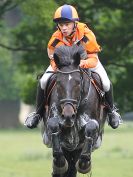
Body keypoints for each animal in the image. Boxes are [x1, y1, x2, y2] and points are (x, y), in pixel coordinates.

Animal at [42, 44, 107, 177]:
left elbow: (91, 127)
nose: (68, 116)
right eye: (58, 83)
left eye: (78, 83)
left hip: (76, 148)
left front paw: (85, 164)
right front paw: (59, 163)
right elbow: (53, 125)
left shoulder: (92, 124)